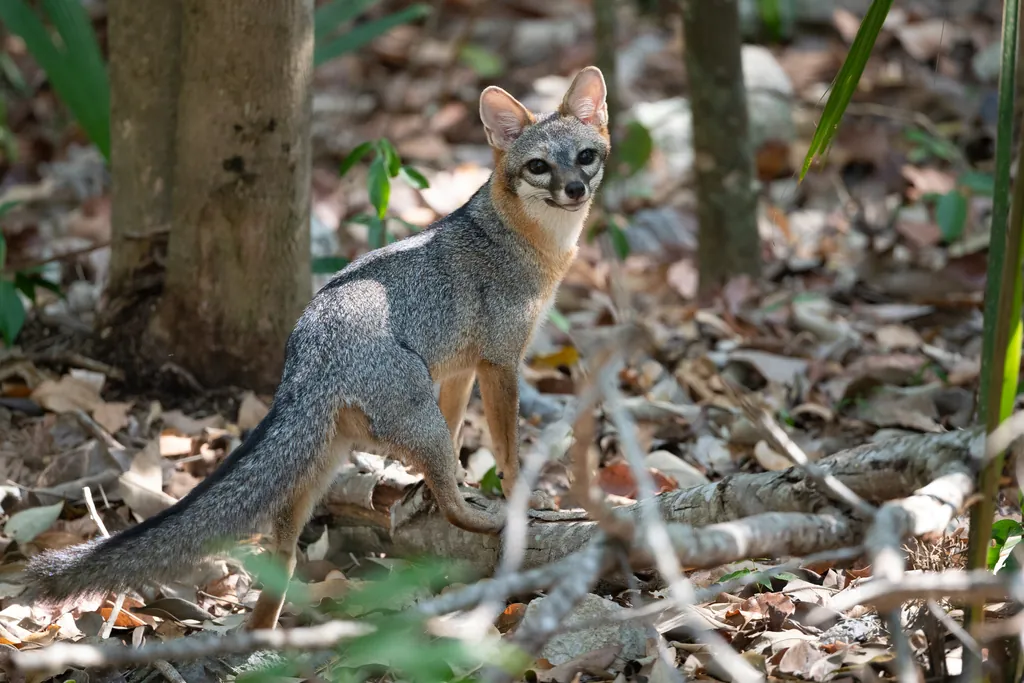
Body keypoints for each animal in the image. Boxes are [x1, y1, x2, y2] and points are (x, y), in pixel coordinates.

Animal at [26, 66, 610, 630]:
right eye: (539, 167)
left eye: (585, 157)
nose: (575, 189)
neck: (529, 243)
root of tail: (310, 350)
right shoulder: (501, 363)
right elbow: (506, 451)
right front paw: (515, 495)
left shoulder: (463, 369)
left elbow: (459, 423)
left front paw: (444, 487)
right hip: (407, 426)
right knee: (449, 507)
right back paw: (483, 520)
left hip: (319, 465)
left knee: (280, 559)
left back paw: (260, 636)